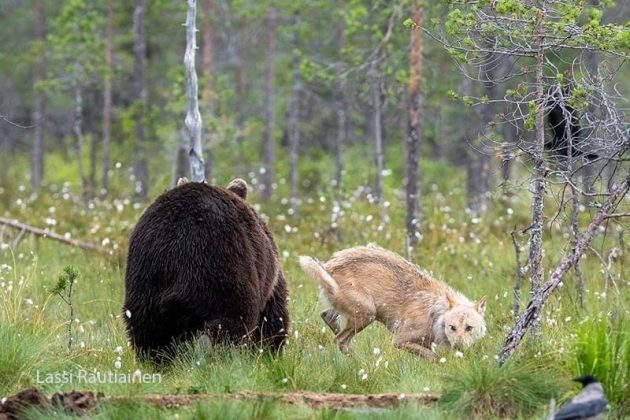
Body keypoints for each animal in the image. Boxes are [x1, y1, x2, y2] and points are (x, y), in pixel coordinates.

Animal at [123, 179, 292, 362]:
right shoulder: (268, 271)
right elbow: (273, 313)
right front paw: (269, 349)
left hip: (147, 283)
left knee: (149, 334)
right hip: (220, 274)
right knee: (229, 327)